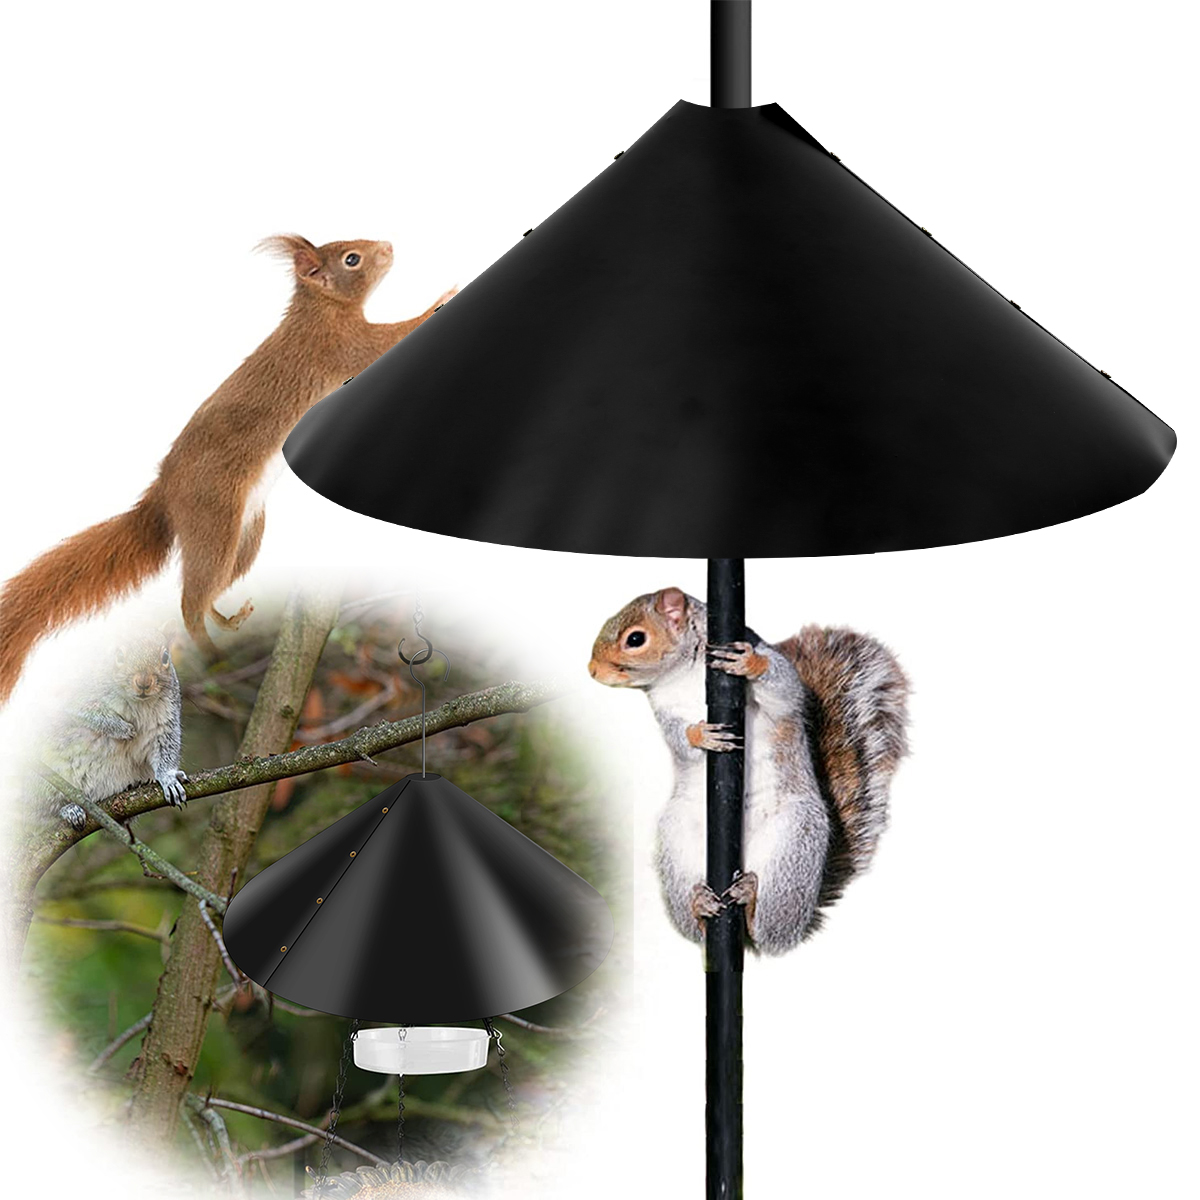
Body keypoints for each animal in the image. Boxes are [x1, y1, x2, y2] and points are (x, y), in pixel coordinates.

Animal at [0, 235, 457, 703]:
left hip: (246, 536)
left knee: (208, 595)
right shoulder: (343, 345)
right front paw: (444, 297)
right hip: (213, 523)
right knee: (190, 602)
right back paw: (210, 652)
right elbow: (391, 338)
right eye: (352, 258)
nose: (388, 246)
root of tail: (164, 493)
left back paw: (229, 623)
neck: (320, 310)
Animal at [29, 627, 187, 829]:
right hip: (45, 781)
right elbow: (88, 713)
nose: (143, 682)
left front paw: (168, 779)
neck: (137, 702)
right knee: (47, 812)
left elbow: (166, 748)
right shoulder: (72, 695)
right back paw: (70, 810)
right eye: (118, 655)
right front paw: (122, 729)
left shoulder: (166, 720)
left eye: (165, 656)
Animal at [589, 588, 910, 954]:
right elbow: (680, 740)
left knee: (770, 933)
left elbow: (785, 689)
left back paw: (753, 900)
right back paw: (700, 905)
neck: (680, 675)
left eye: (635, 639)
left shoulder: (774, 669)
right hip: (676, 842)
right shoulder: (665, 713)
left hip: (795, 843)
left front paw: (748, 664)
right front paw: (701, 736)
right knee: (698, 927)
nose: (592, 670)